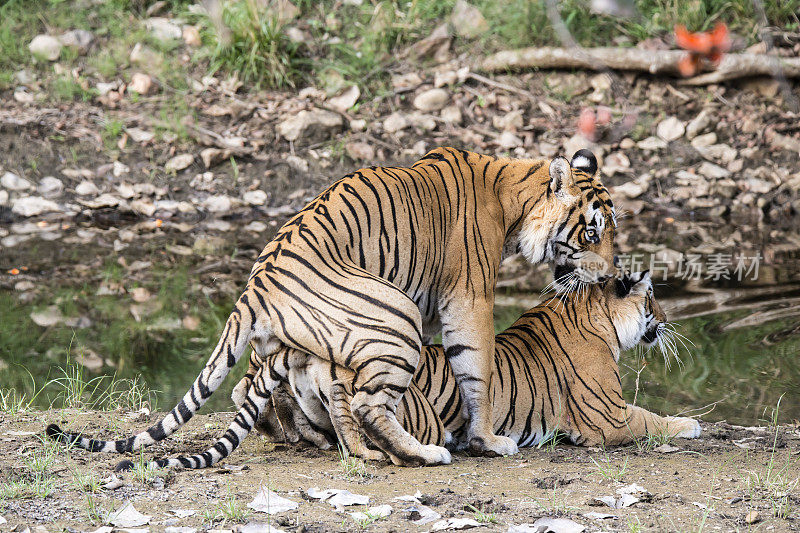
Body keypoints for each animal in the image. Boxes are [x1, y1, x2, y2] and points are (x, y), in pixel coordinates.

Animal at [47, 147, 616, 466]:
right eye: (592, 233)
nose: (611, 276)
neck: (513, 197)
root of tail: (256, 285)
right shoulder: (468, 300)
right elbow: (478, 371)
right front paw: (488, 440)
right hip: (397, 313)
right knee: (366, 403)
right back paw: (421, 453)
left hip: (288, 342)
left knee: (249, 389)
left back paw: (304, 437)